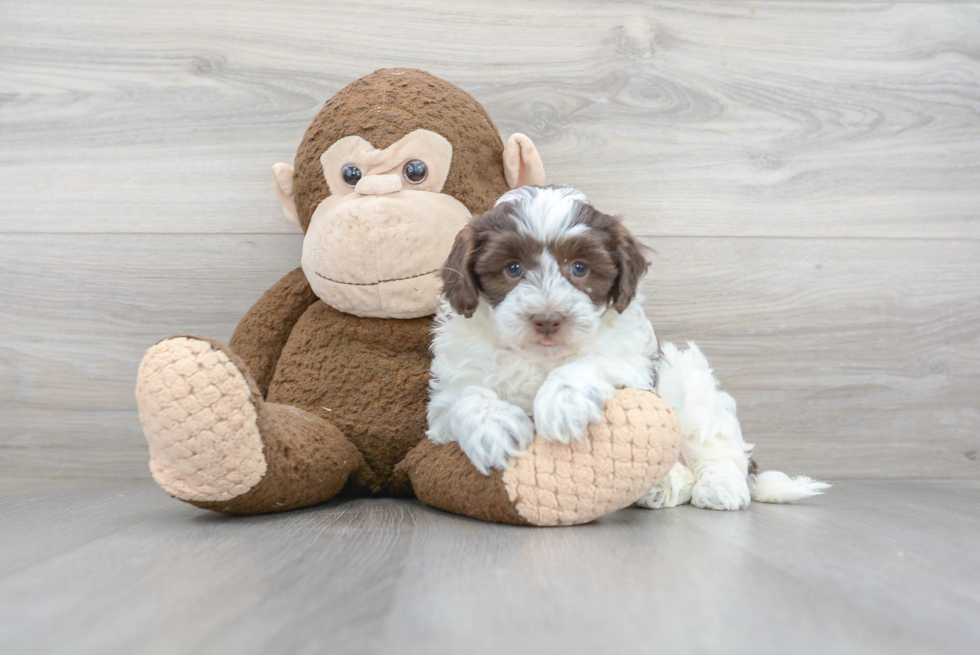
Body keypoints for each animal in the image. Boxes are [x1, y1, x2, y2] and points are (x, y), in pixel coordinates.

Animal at [428, 187, 660, 474]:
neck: (538, 357)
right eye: (513, 268)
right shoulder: (444, 403)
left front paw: (565, 398)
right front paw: (494, 426)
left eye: (580, 267)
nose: (547, 320)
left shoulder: (636, 366)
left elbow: (598, 359)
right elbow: (463, 396)